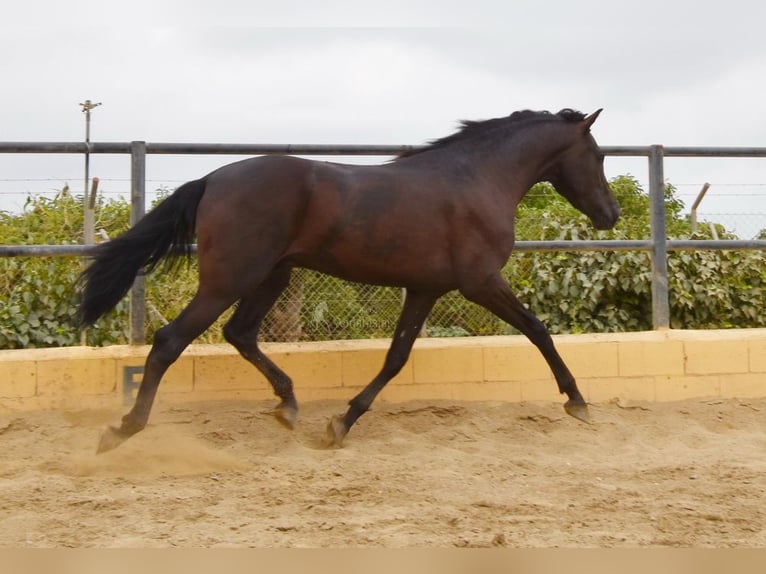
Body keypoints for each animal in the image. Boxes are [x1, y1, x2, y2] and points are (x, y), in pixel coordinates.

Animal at [78, 109, 620, 454]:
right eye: (598, 157)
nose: (610, 214)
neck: (476, 180)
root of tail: (212, 180)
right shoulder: (481, 281)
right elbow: (538, 330)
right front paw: (577, 402)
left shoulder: (425, 289)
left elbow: (396, 358)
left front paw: (339, 423)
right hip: (229, 279)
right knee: (171, 341)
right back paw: (121, 430)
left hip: (272, 275)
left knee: (240, 333)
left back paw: (288, 406)